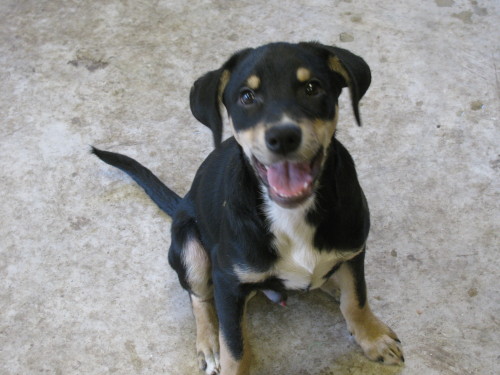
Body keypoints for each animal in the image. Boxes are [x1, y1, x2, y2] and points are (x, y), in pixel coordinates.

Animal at [93, 42, 402, 374]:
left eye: (312, 87)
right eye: (246, 96)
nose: (283, 137)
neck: (291, 214)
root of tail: (182, 203)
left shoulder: (355, 250)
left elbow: (357, 297)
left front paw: (373, 338)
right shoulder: (227, 281)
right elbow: (234, 344)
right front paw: (225, 353)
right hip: (189, 247)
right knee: (199, 296)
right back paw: (209, 345)